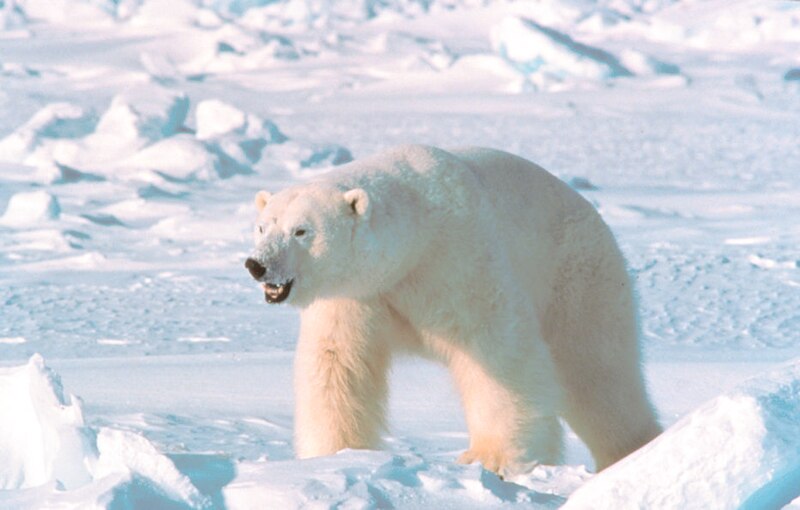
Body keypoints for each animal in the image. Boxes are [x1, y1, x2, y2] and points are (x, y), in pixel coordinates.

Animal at [245, 144, 664, 474]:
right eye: (263, 227)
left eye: (301, 231)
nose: (257, 264)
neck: (414, 242)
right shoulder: (356, 296)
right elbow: (337, 363)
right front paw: (333, 455)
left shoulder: (458, 260)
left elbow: (498, 353)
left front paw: (493, 458)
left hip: (578, 280)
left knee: (598, 373)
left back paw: (632, 452)